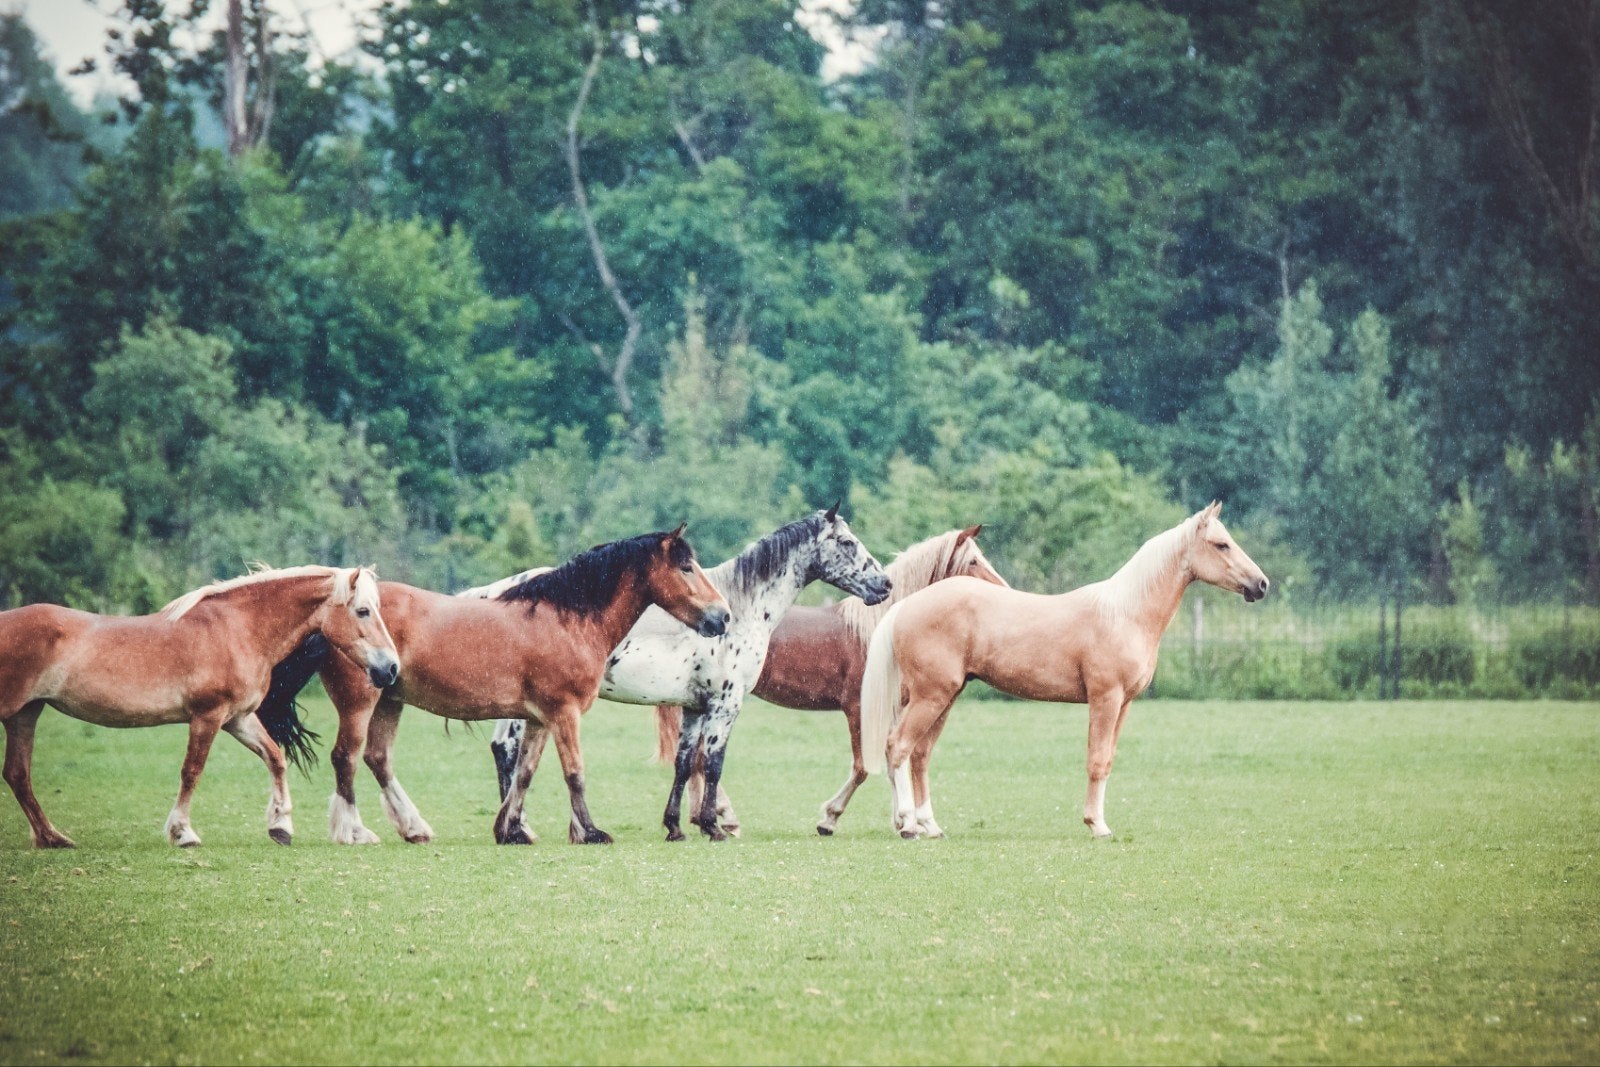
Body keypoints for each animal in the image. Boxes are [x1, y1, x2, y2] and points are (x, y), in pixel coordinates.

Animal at [0, 566, 399, 849]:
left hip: (25, 714)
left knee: (18, 775)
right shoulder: (207, 716)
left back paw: (52, 838)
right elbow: (192, 771)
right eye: (363, 611)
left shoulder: (238, 719)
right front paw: (183, 833)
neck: (238, 630)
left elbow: (275, 758)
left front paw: (281, 825)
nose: (391, 668)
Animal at [255, 527, 730, 845]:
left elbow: (524, 773)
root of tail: (331, 615)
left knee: (378, 759)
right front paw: (591, 831)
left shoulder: (540, 718)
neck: (567, 620)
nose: (722, 616)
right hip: (359, 701)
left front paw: (511, 830)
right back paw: (353, 831)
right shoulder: (564, 713)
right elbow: (574, 773)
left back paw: (414, 828)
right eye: (686, 567)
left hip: (390, 699)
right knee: (346, 758)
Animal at [480, 506, 892, 841]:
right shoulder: (726, 704)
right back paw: (518, 828)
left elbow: (683, 764)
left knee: (505, 750)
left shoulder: (694, 707)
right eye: (846, 542)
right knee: (510, 751)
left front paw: (675, 826)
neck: (740, 608)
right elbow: (712, 763)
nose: (884, 584)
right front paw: (712, 825)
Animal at [651, 525, 1008, 836]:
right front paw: (831, 819)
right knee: (699, 760)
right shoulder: (858, 709)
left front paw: (902, 821)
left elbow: (892, 759)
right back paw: (723, 817)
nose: (1003, 591)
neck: (876, 630)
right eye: (973, 561)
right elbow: (864, 766)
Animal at [861, 502, 1268, 840]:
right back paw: (907, 824)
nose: (1261, 584)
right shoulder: (1106, 698)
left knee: (919, 754)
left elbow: (1108, 760)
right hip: (931, 696)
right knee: (898, 746)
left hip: (944, 697)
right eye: (1221, 545)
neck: (1125, 613)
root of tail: (907, 606)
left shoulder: (1124, 704)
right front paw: (1097, 825)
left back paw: (928, 825)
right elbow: (1097, 761)